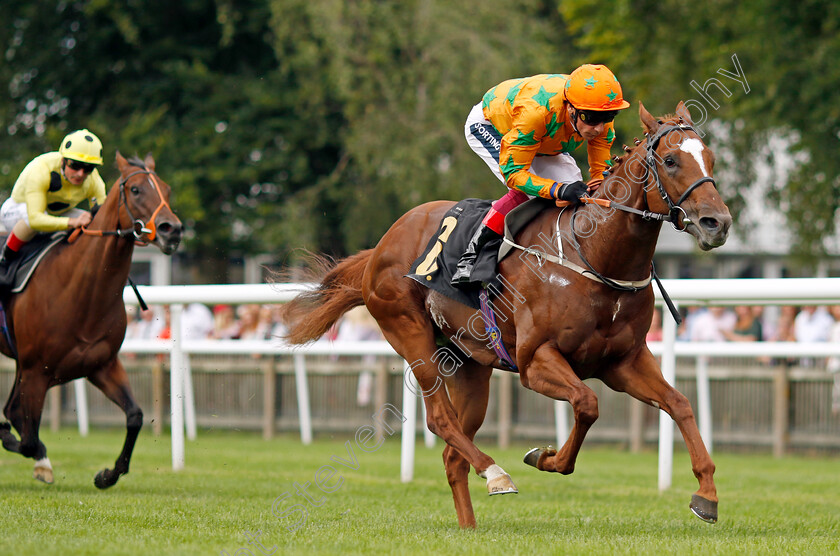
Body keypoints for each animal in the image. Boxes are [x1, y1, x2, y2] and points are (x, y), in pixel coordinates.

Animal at [0, 152, 182, 486]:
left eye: (167, 188)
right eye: (135, 189)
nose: (171, 229)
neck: (81, 292)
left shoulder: (101, 364)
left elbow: (135, 416)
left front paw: (108, 474)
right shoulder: (36, 370)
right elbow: (28, 437)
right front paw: (12, 439)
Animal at [280, 102, 728, 528]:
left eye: (710, 157)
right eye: (670, 160)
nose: (717, 223)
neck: (594, 254)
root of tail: (381, 245)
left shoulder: (624, 361)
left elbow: (679, 403)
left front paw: (706, 494)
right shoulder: (535, 361)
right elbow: (587, 403)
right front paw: (544, 457)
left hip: (469, 364)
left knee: (453, 455)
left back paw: (470, 527)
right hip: (411, 335)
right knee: (440, 420)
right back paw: (496, 472)